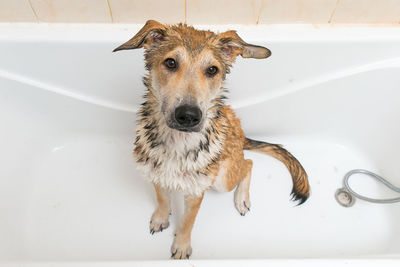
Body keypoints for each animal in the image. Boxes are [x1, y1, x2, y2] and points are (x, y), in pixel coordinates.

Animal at [112, 20, 310, 260]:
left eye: (212, 70)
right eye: (170, 62)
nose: (188, 115)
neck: (178, 142)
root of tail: (241, 136)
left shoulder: (197, 192)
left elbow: (188, 222)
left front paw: (181, 245)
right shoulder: (154, 173)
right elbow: (162, 199)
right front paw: (161, 218)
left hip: (222, 179)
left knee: (248, 163)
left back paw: (242, 198)